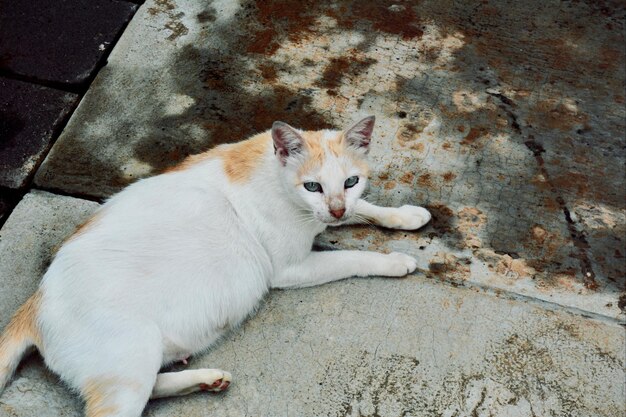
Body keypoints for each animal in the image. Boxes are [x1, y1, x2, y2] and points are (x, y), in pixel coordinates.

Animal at [0, 116, 428, 416]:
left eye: (351, 181)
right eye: (312, 186)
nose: (336, 210)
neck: (274, 175)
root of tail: (35, 301)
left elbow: (367, 209)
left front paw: (405, 215)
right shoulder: (292, 268)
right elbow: (352, 257)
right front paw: (394, 261)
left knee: (154, 385)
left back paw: (205, 381)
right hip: (129, 365)